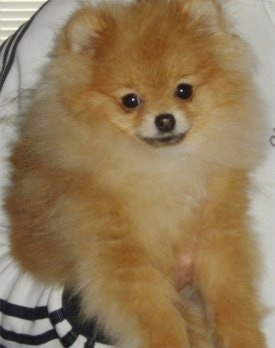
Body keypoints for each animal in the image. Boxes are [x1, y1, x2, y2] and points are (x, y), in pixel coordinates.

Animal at [4, 0, 268, 348]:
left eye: (184, 91)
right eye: (130, 101)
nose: (165, 119)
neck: (162, 166)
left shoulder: (218, 234)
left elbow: (231, 300)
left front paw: (243, 338)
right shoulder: (121, 258)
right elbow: (157, 317)